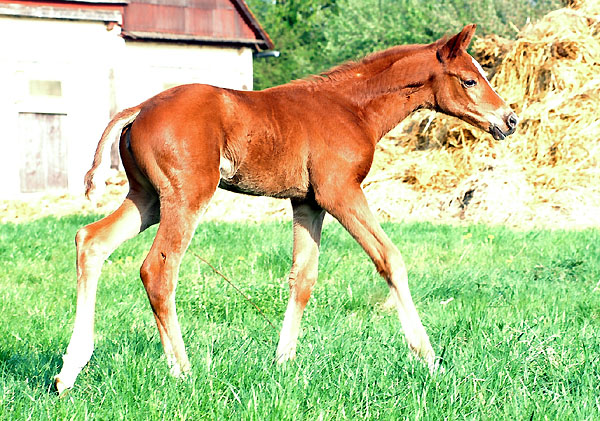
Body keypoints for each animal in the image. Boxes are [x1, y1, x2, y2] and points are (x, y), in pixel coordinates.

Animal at [54, 24, 516, 392]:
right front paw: (429, 358)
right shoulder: (340, 192)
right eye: (469, 80)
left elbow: (303, 277)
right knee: (158, 269)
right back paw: (182, 370)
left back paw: (70, 370)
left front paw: (283, 361)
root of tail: (139, 109)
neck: (352, 107)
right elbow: (390, 259)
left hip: (147, 197)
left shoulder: (308, 202)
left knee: (91, 241)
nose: (509, 119)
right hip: (187, 197)